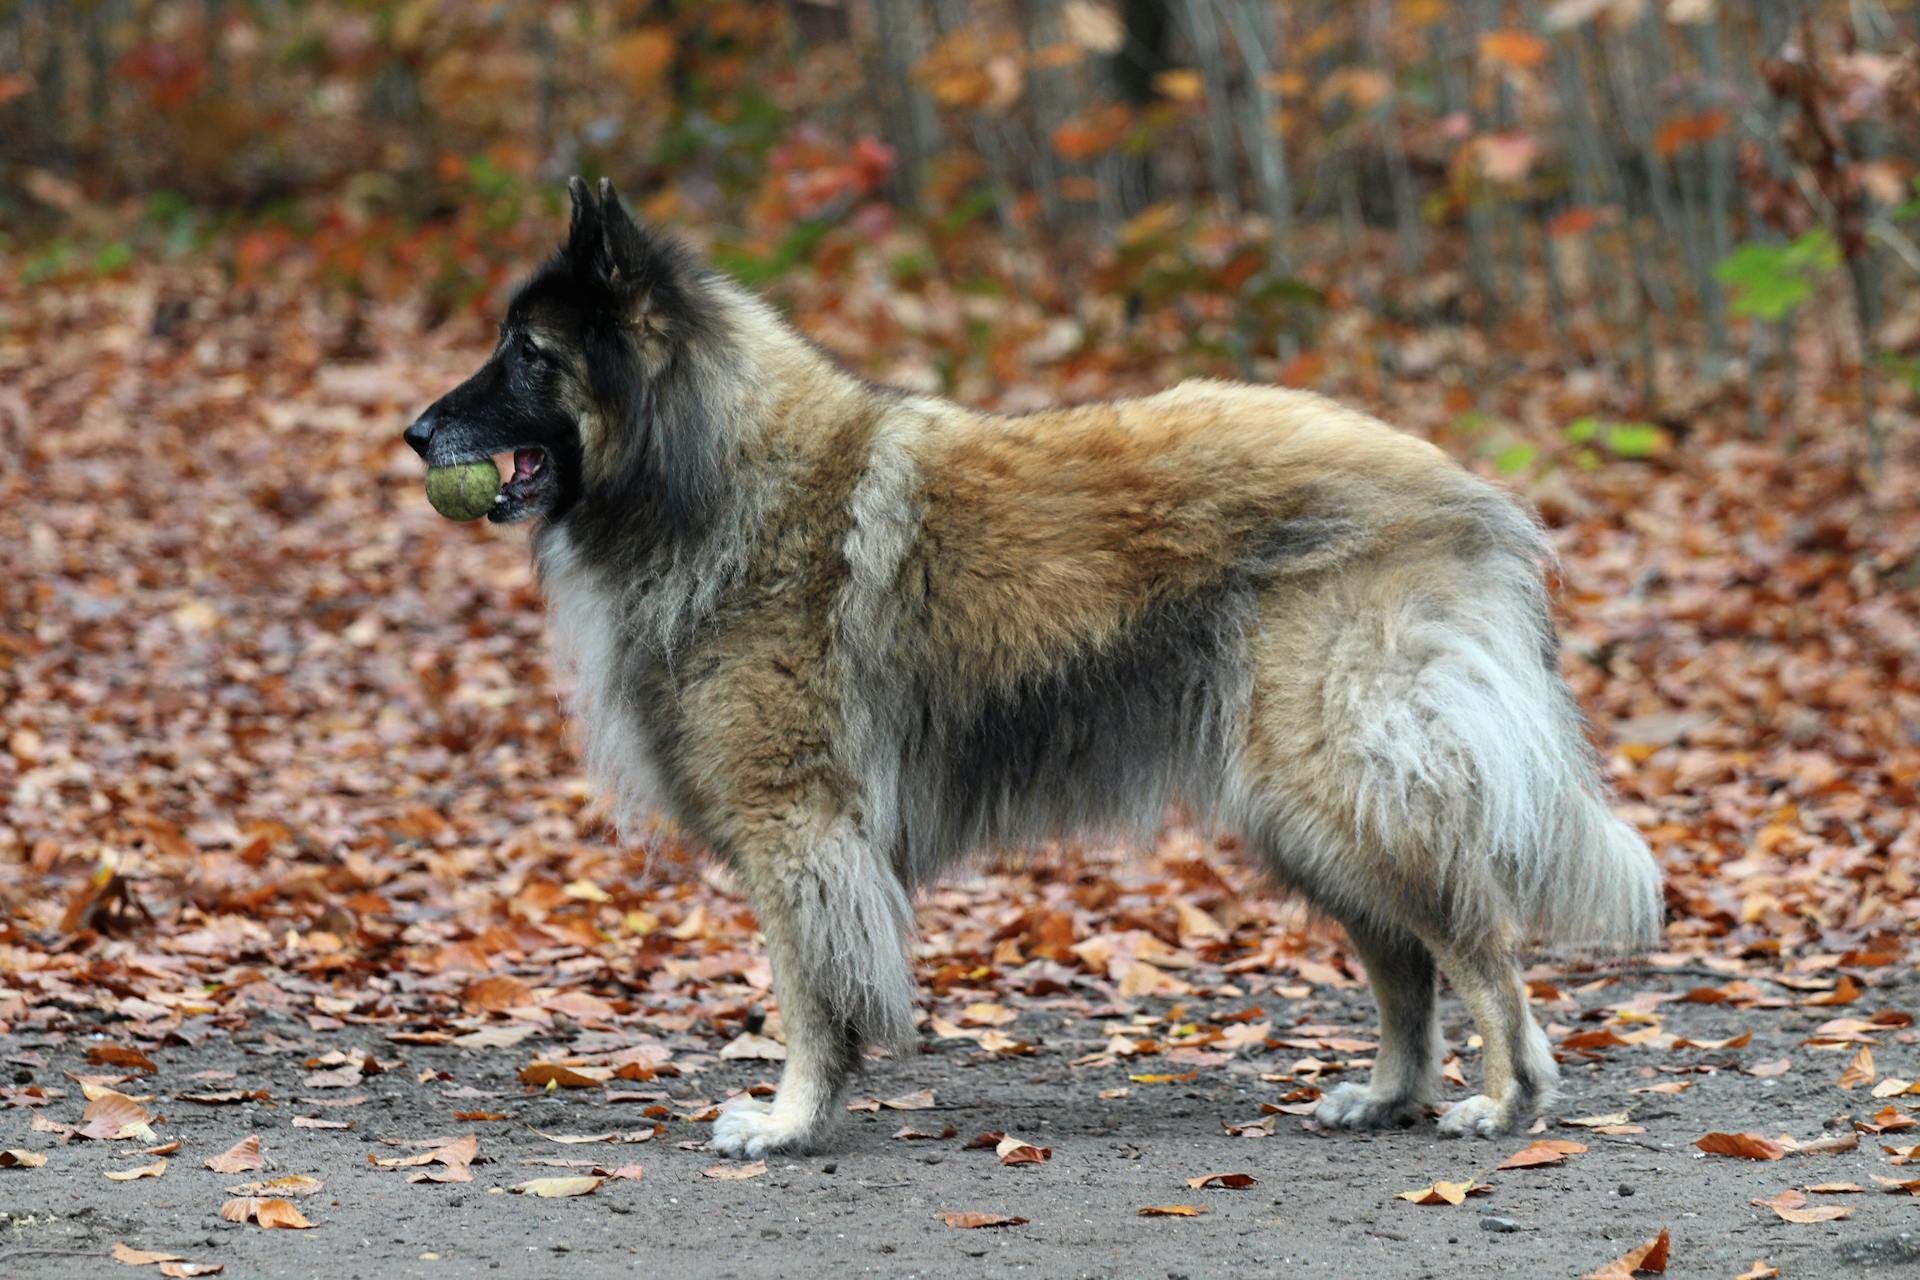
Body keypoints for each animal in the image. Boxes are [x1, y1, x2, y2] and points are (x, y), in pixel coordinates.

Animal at [405, 175, 1666, 1159]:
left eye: (528, 351)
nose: (415, 434)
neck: (708, 472)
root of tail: (1467, 491)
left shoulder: (796, 823)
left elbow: (810, 993)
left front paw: (791, 1118)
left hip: (1338, 782)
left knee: (1476, 938)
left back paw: (1505, 1100)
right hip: (1298, 806)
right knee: (1406, 954)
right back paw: (1389, 1094)